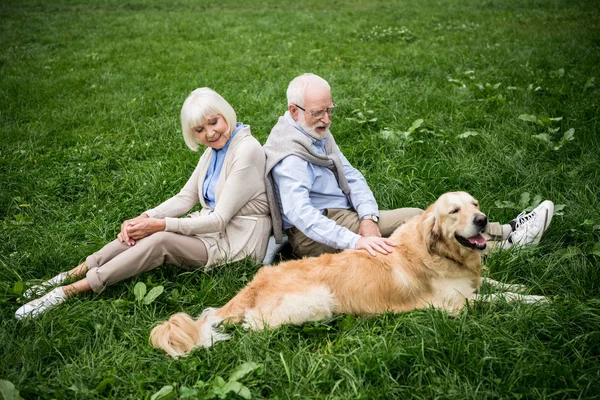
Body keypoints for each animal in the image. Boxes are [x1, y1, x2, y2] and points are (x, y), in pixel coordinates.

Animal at [149, 192, 544, 358]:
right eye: (454, 211)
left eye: (475, 205)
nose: (481, 220)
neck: (441, 254)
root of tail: (254, 284)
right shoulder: (457, 307)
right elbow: (500, 298)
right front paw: (539, 298)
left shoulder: (473, 282)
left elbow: (498, 283)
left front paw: (525, 285)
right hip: (318, 302)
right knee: (253, 328)